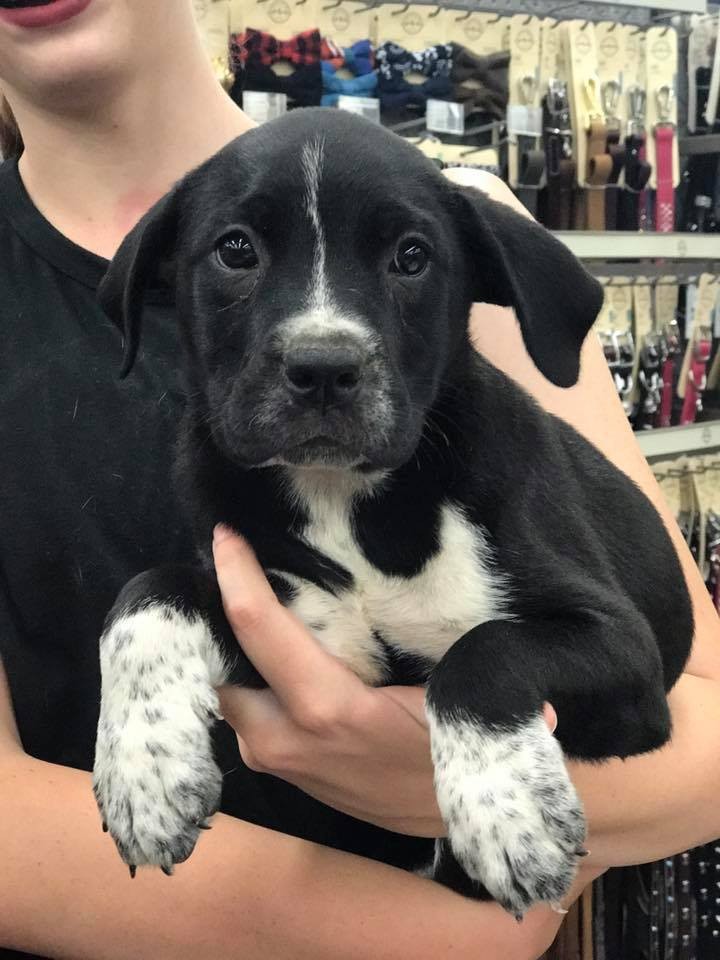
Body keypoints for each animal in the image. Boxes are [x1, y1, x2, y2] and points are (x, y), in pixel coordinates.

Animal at [93, 109, 696, 920]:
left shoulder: (626, 655)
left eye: (412, 257)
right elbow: (149, 592)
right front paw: (143, 773)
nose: (322, 368)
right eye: (235, 249)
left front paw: (510, 815)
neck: (343, 498)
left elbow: (484, 649)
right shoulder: (277, 616)